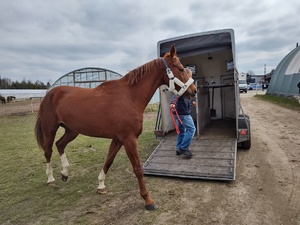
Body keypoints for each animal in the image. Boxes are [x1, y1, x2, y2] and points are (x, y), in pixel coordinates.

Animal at [34, 44, 197, 210]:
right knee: (48, 151)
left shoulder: (118, 139)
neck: (129, 97)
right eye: (181, 69)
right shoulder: (129, 140)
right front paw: (148, 200)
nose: (193, 91)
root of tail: (50, 93)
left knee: (60, 145)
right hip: (50, 129)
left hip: (72, 131)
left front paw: (101, 185)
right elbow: (138, 169)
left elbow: (109, 160)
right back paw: (51, 179)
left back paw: (65, 173)